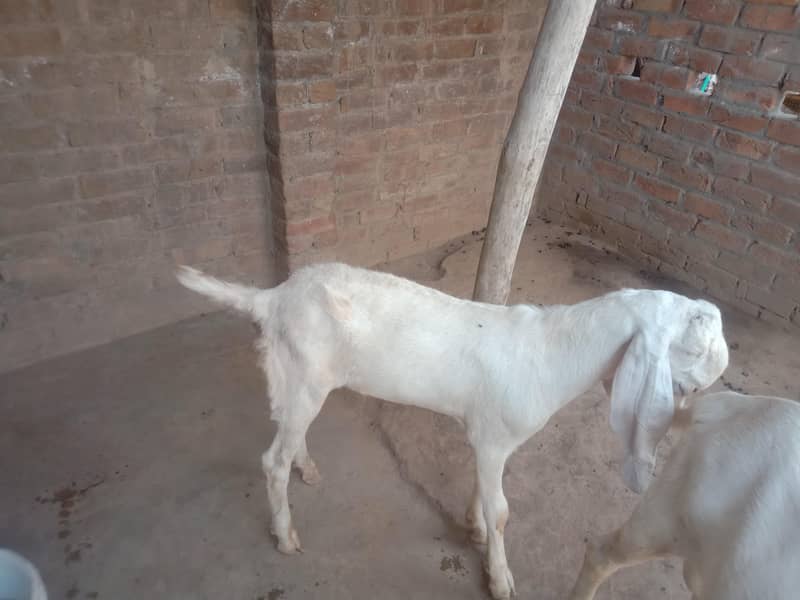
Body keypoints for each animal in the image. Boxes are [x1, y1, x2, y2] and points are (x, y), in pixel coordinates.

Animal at [177, 262, 728, 599]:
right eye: (694, 346)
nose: (704, 388)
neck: (552, 351)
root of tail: (271, 298)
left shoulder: (486, 437)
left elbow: (484, 494)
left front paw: (474, 526)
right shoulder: (495, 438)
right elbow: (503, 510)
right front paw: (500, 577)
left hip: (303, 380)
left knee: (289, 432)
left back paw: (305, 467)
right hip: (304, 374)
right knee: (270, 460)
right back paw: (286, 535)